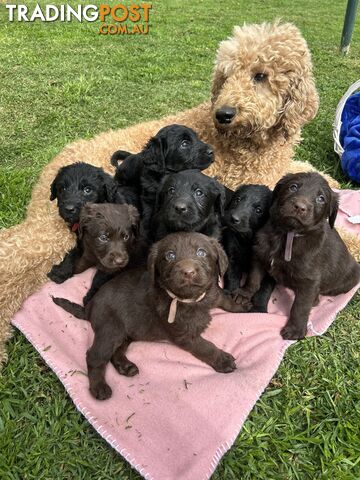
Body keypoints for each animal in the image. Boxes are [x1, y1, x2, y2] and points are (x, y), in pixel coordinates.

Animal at [221, 184, 274, 312]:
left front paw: (259, 308)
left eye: (258, 210)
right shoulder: (232, 256)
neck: (247, 240)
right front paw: (230, 296)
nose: (234, 218)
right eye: (237, 200)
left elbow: (264, 289)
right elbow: (232, 276)